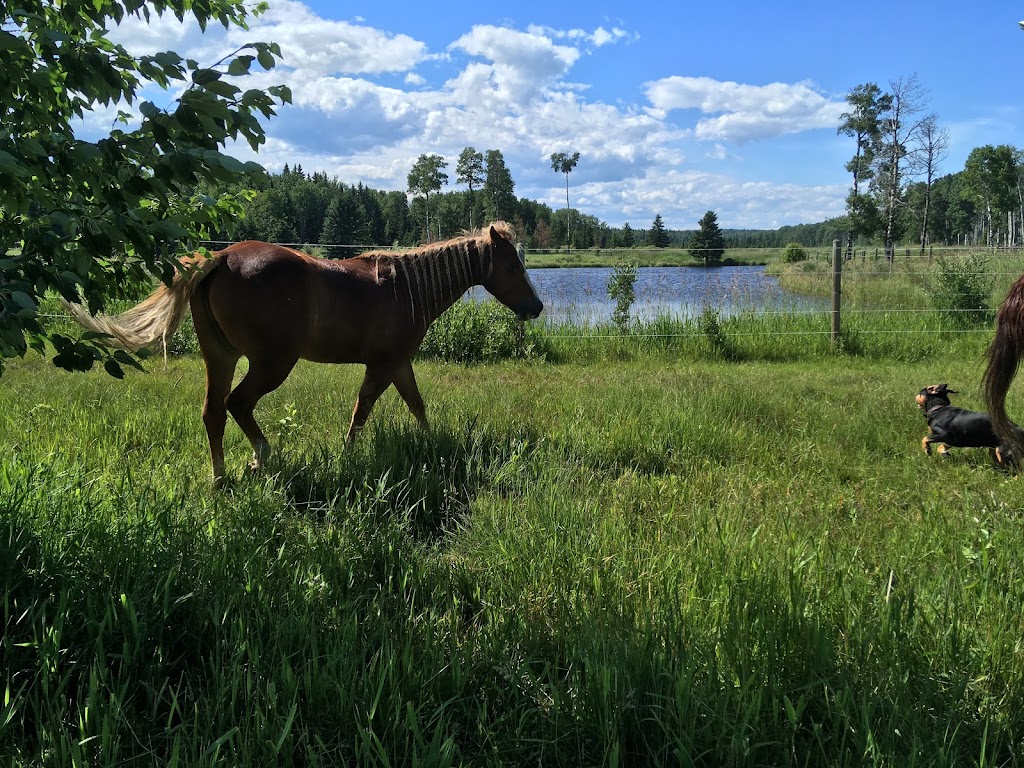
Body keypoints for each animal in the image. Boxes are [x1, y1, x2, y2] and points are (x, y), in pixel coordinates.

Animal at [67, 221, 540, 481]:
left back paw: (220, 478)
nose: (535, 307)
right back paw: (260, 459)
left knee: (213, 411)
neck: (406, 287)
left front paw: (429, 442)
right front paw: (350, 455)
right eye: (512, 264)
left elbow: (415, 404)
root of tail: (221, 259)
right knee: (237, 404)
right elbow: (363, 409)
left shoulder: (398, 364)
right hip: (272, 363)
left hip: (220, 357)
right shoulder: (384, 365)